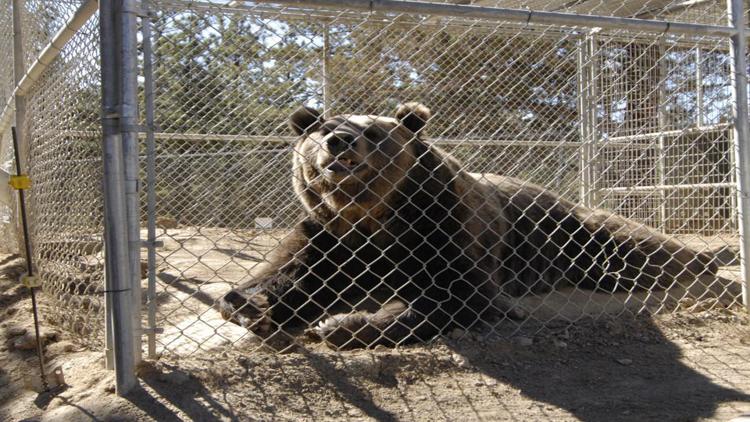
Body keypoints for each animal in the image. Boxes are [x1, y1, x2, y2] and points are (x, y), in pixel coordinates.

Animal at [216, 102, 716, 350]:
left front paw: (344, 323)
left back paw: (708, 260)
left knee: (634, 249)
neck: (373, 215)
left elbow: (453, 295)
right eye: (321, 129)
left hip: (566, 231)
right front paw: (248, 302)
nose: (340, 140)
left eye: (373, 132)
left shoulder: (439, 225)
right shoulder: (328, 232)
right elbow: (291, 273)